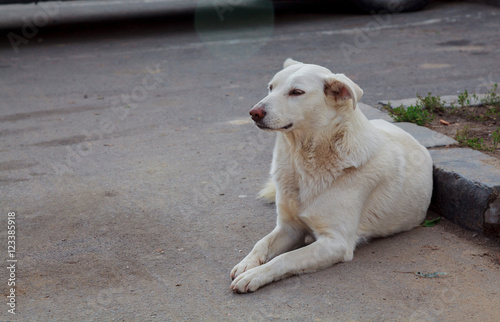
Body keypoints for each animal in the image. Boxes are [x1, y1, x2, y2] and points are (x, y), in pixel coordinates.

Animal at [229, 58, 432, 294]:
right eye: (271, 87)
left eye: (296, 92)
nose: (254, 113)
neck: (302, 162)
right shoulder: (289, 228)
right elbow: (261, 243)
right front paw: (247, 264)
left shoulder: (336, 242)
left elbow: (285, 258)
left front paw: (254, 275)